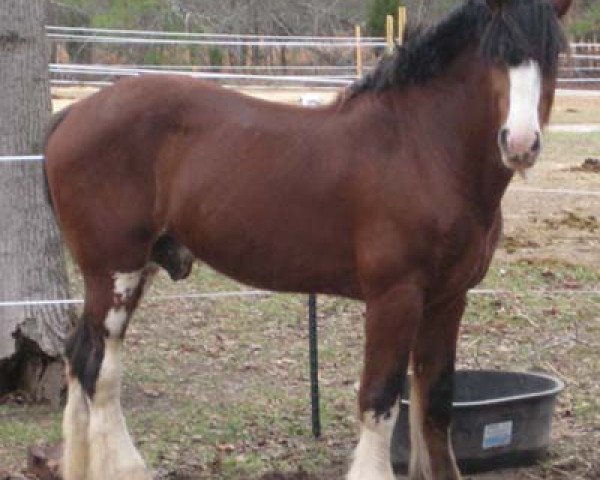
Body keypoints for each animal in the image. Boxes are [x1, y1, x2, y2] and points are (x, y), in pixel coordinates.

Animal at [44, 0, 568, 480]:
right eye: (494, 52)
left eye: (555, 53)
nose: (520, 143)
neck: (423, 149)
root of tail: (72, 115)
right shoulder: (394, 298)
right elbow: (380, 400)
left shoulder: (448, 299)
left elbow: (435, 403)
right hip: (115, 270)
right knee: (98, 371)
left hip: (131, 270)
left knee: (79, 359)